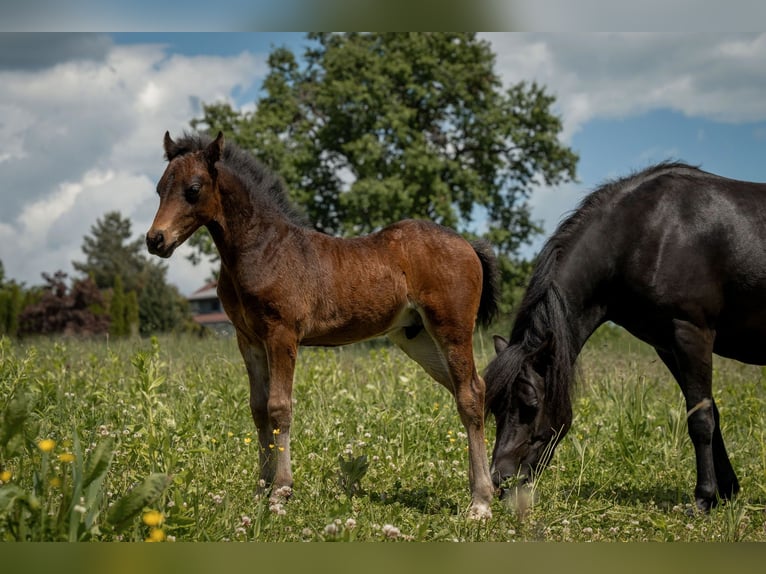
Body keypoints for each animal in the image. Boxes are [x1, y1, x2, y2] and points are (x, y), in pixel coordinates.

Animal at [146, 133, 500, 520]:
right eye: (159, 188)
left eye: (193, 189)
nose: (155, 240)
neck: (263, 248)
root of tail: (468, 244)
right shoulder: (248, 339)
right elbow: (258, 408)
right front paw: (260, 488)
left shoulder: (282, 334)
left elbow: (279, 407)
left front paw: (280, 492)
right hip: (417, 338)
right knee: (470, 389)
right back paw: (480, 487)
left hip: (451, 329)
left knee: (470, 395)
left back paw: (481, 501)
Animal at [488, 161, 766, 512]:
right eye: (495, 407)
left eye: (530, 403)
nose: (500, 480)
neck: (650, 232)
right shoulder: (668, 345)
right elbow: (708, 410)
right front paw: (725, 491)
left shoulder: (692, 333)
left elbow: (701, 420)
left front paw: (704, 498)